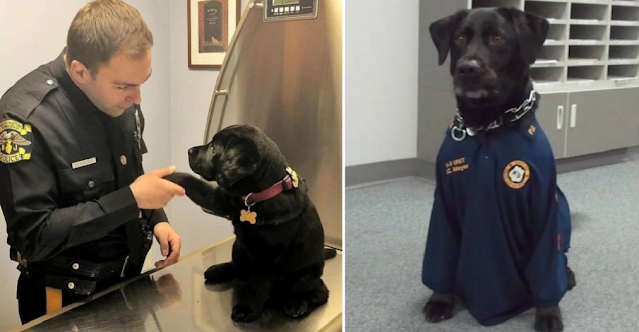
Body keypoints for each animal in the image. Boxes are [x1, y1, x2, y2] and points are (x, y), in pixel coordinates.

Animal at [165, 124, 338, 322]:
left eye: (213, 147)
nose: (189, 151)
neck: (257, 196)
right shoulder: (222, 201)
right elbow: (193, 183)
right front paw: (166, 177)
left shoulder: (268, 257)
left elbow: (258, 284)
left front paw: (247, 308)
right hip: (238, 248)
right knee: (239, 268)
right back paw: (219, 270)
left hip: (303, 278)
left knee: (320, 291)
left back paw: (298, 304)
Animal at [422, 6, 576, 332]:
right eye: (459, 39)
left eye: (498, 38)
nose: (468, 68)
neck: (488, 125)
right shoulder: (444, 206)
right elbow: (441, 258)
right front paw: (440, 299)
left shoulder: (544, 209)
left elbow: (547, 271)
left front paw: (548, 313)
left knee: (560, 261)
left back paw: (567, 276)